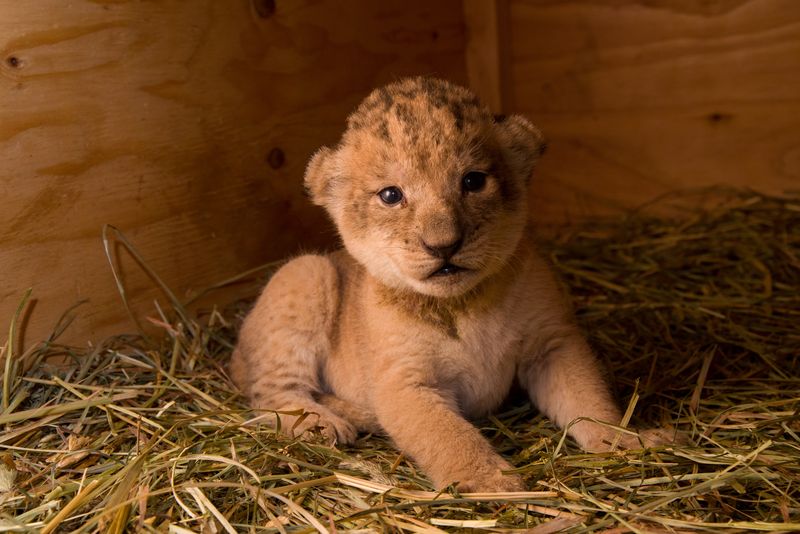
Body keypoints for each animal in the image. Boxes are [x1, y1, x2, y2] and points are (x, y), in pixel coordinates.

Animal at [230, 77, 677, 492]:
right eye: (390, 195)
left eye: (473, 181)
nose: (443, 245)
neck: (461, 303)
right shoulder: (404, 382)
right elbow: (448, 436)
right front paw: (493, 484)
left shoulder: (553, 345)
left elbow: (589, 399)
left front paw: (628, 442)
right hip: (306, 273)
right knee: (269, 393)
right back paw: (324, 424)